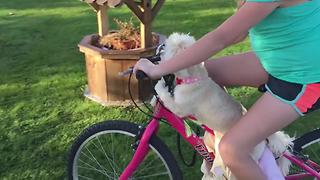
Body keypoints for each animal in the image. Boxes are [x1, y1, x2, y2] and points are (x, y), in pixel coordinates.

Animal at [154, 32, 294, 180]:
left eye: (169, 49)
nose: (161, 46)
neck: (196, 78)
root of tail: (265, 140)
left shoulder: (179, 107)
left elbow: (166, 96)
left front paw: (158, 86)